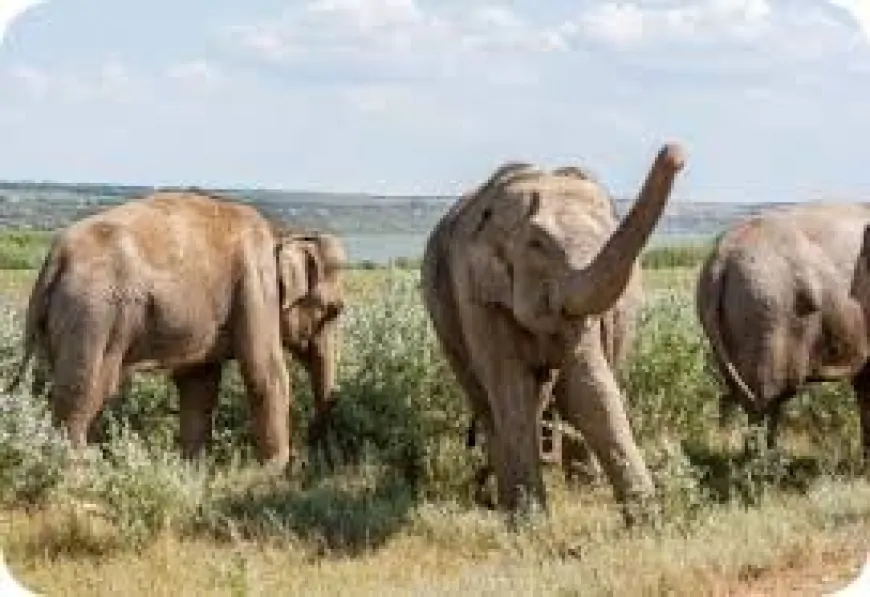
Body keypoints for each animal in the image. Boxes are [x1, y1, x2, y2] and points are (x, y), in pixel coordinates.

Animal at [7, 191, 348, 466]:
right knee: (84, 395)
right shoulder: (255, 287)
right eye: (334, 311)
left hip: (61, 321)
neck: (283, 233)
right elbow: (266, 374)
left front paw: (193, 471)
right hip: (93, 317)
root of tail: (55, 258)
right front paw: (274, 474)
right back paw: (77, 474)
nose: (315, 447)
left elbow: (198, 384)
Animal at [420, 142, 688, 516]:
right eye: (536, 244)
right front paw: (529, 519)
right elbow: (511, 390)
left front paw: (648, 519)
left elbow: (587, 390)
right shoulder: (475, 292)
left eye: (607, 235)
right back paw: (506, 499)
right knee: (486, 399)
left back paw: (581, 487)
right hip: (443, 316)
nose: (674, 151)